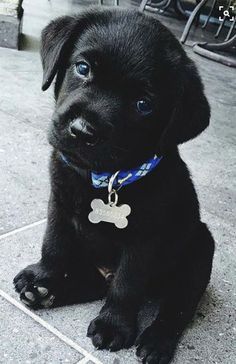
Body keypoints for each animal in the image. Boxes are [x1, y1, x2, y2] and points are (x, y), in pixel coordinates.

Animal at [13, 8, 215, 364]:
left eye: (143, 104)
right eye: (83, 68)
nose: (81, 130)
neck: (104, 178)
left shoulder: (144, 239)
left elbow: (127, 284)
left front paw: (113, 326)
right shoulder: (58, 204)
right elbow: (53, 244)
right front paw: (43, 275)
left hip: (200, 250)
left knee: (176, 307)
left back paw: (157, 342)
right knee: (93, 284)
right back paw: (45, 291)